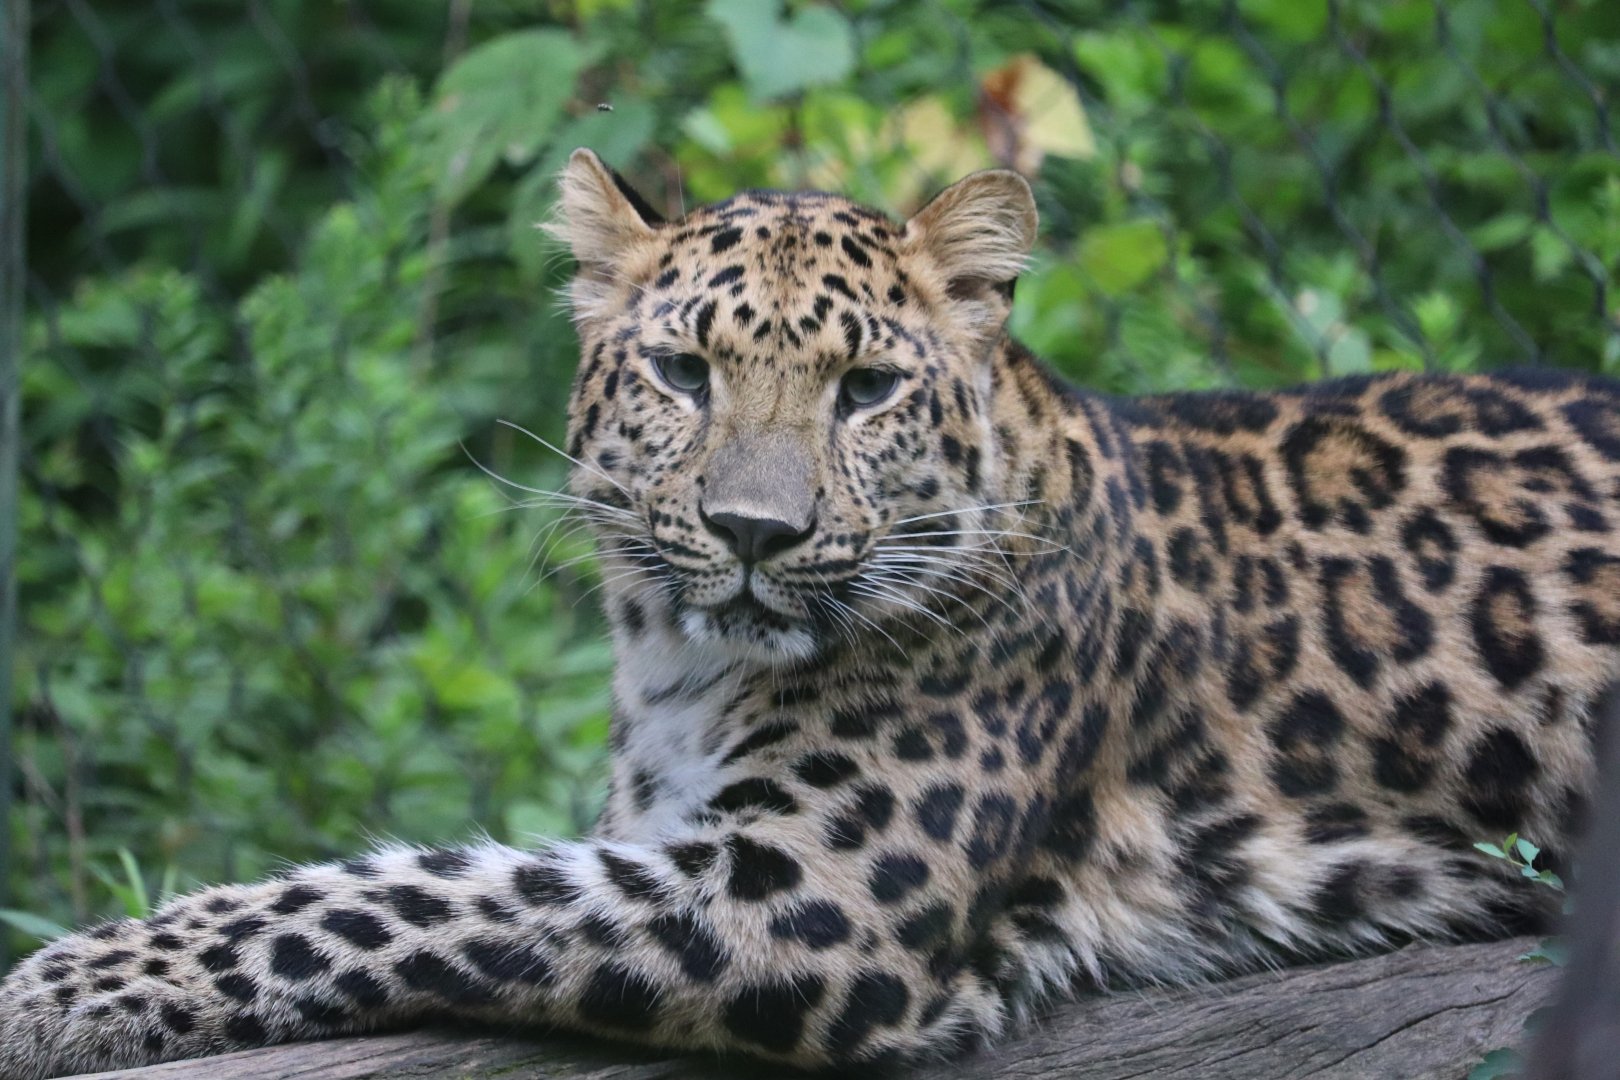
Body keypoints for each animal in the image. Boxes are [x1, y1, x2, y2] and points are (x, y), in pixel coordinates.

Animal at [3, 148, 1619, 1078]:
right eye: (683, 373)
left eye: (867, 388)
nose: (753, 535)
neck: (678, 667)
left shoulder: (803, 891)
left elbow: (405, 892)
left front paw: (61, 984)